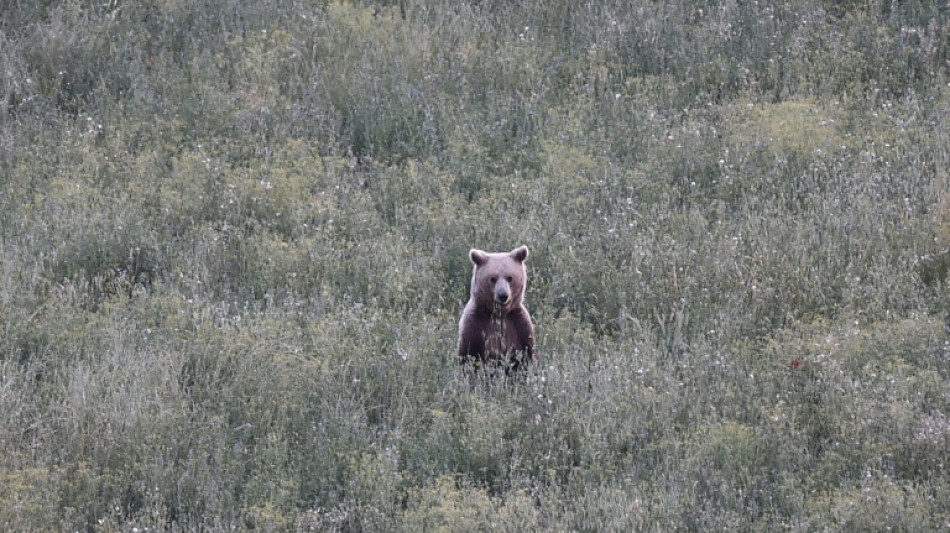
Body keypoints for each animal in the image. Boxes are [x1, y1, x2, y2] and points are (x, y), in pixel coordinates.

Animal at [458, 245, 536, 375]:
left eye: (510, 277)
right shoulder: (476, 323)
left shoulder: (517, 324)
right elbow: (468, 355)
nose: (503, 295)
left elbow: (527, 356)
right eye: (493, 278)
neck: (499, 314)